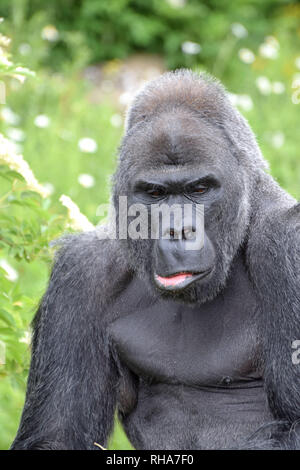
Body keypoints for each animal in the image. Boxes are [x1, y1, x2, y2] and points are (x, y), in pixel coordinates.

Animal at [10, 70, 298, 452]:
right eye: (155, 193)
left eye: (200, 189)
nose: (179, 230)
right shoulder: (81, 273)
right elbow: (55, 434)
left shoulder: (286, 242)